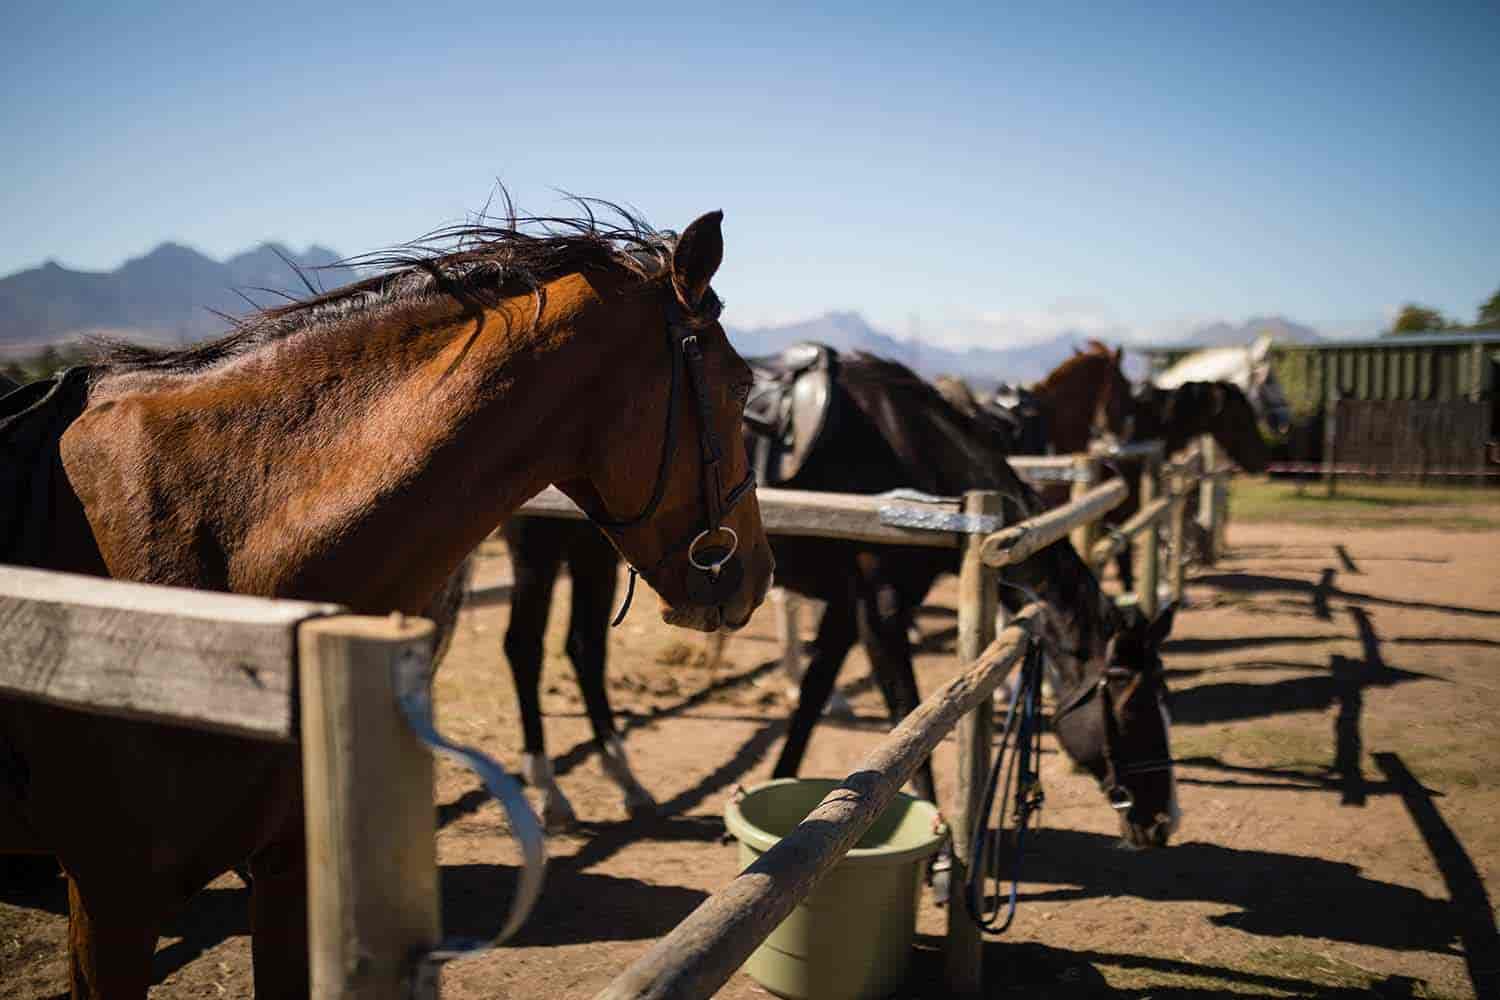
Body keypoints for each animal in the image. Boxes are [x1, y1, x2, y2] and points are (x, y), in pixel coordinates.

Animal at [498, 347, 1176, 851]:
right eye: (1132, 707)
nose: (1164, 819)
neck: (915, 460)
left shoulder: (849, 614)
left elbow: (812, 701)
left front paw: (760, 812)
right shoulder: (881, 610)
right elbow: (910, 718)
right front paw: (938, 857)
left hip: (594, 556)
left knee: (583, 648)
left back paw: (628, 783)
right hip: (538, 552)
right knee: (525, 648)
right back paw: (551, 795)